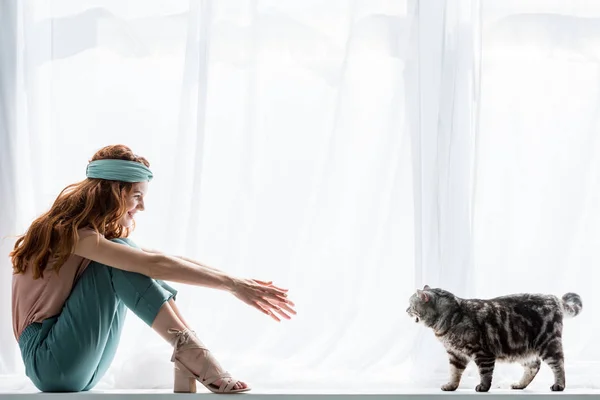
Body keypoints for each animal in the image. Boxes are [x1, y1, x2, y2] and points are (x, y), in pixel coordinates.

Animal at [406, 286, 584, 392]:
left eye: (411, 304)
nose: (406, 309)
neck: (453, 314)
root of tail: (553, 297)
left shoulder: (482, 353)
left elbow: (485, 373)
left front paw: (483, 387)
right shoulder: (455, 354)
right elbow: (454, 373)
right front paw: (451, 385)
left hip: (547, 343)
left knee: (559, 365)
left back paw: (559, 385)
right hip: (523, 349)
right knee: (534, 365)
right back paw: (520, 385)